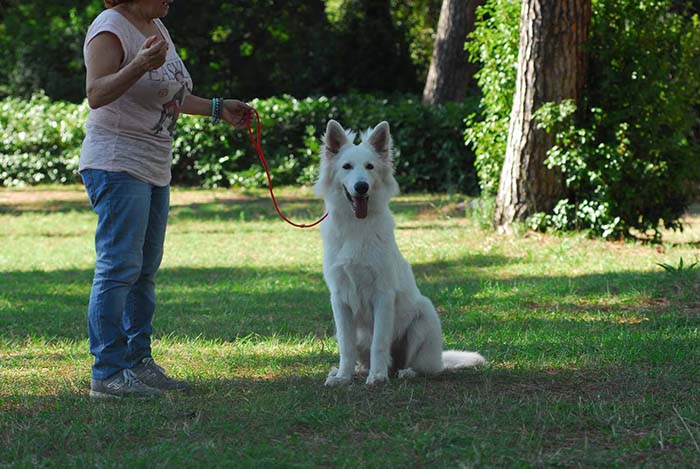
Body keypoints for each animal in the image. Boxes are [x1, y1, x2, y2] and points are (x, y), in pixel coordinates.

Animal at [314, 119, 484, 384]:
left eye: (370, 167)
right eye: (347, 166)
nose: (361, 187)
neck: (357, 227)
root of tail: (440, 358)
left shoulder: (383, 296)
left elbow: (379, 343)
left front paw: (377, 376)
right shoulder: (339, 299)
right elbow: (346, 346)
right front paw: (343, 376)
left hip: (424, 315)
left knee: (425, 367)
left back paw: (404, 372)